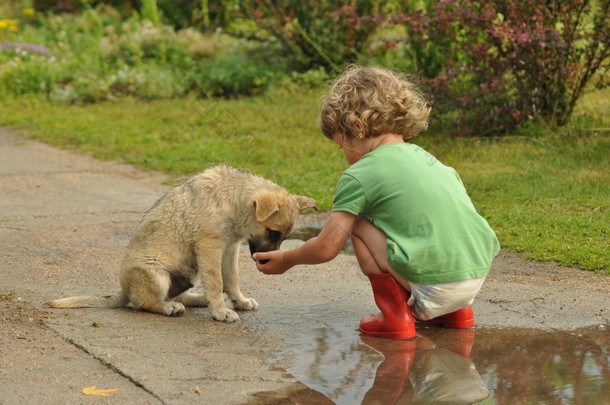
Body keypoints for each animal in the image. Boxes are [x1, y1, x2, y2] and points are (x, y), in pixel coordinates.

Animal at [49, 164, 316, 322]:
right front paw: (221, 311)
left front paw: (238, 302)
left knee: (176, 295)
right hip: (155, 274)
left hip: (186, 275)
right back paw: (169, 308)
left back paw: (197, 299)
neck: (232, 200)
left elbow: (231, 279)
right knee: (146, 303)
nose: (267, 262)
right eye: (272, 233)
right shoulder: (210, 247)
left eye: (283, 237)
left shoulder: (230, 249)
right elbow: (217, 281)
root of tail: (124, 291)